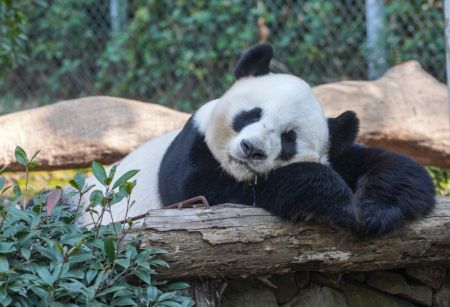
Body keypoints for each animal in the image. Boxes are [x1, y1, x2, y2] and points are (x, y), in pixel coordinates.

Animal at [77, 43, 436, 237]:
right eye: (251, 114)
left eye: (289, 138)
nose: (252, 150)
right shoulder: (191, 152)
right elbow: (215, 192)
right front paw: (333, 199)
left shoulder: (339, 153)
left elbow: (395, 167)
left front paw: (375, 210)